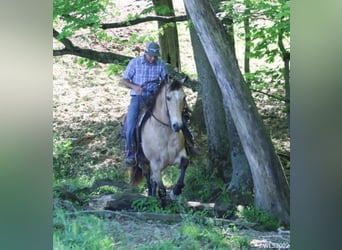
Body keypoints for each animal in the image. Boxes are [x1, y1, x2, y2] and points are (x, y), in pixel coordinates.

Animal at [131, 77, 190, 206]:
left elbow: (184, 163)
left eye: (184, 97)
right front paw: (163, 204)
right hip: (143, 161)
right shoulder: (155, 164)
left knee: (153, 180)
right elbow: (162, 190)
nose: (177, 126)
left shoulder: (180, 154)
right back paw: (150, 195)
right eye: (168, 97)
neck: (164, 132)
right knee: (147, 176)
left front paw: (176, 190)